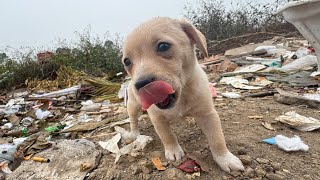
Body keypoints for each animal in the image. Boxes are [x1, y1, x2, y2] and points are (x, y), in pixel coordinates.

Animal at [121, 17, 244, 173]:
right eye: (127, 61)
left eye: (163, 46)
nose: (141, 84)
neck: (181, 98)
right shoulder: (157, 118)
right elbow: (167, 136)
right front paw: (173, 151)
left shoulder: (208, 114)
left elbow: (217, 138)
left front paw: (225, 158)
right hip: (132, 105)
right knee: (133, 119)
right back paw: (134, 133)